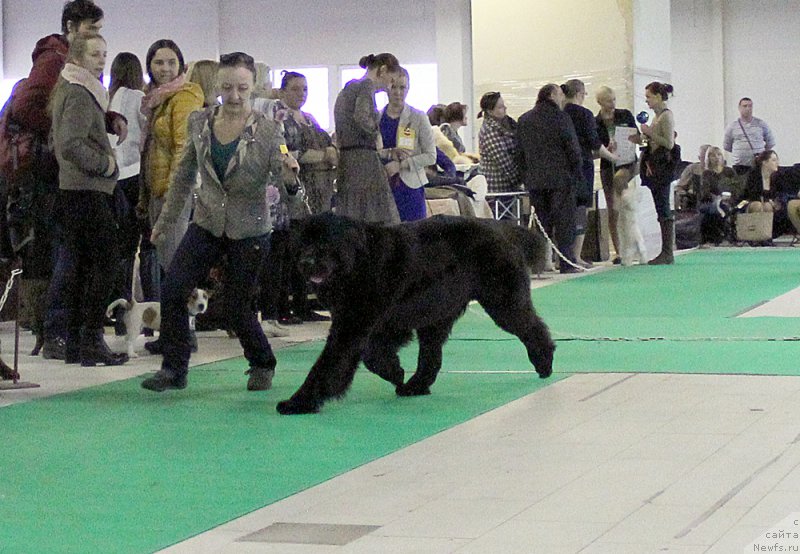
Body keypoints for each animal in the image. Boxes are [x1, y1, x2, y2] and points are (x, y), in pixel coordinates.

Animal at [276, 213, 556, 412]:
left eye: (324, 243)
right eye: (302, 244)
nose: (306, 262)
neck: (358, 261)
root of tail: (502, 228)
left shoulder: (355, 324)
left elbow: (328, 363)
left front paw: (298, 402)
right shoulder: (380, 324)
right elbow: (370, 354)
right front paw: (395, 371)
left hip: (502, 302)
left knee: (531, 326)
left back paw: (544, 362)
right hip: (437, 313)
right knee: (431, 356)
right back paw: (415, 386)